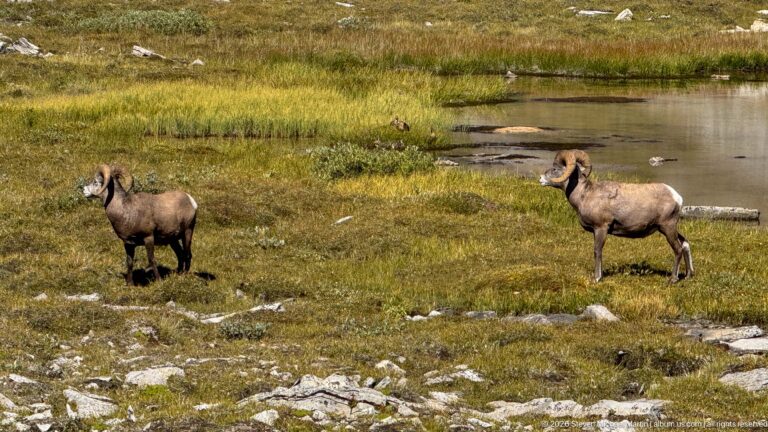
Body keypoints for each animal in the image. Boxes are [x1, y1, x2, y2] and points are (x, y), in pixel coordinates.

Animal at [539, 150, 693, 282]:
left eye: (555, 169)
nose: (540, 179)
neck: (584, 194)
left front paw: (597, 278)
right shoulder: (596, 231)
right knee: (685, 243)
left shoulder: (601, 228)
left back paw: (673, 279)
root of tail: (676, 197)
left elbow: (597, 251)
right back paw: (687, 276)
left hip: (667, 228)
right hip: (668, 229)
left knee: (678, 249)